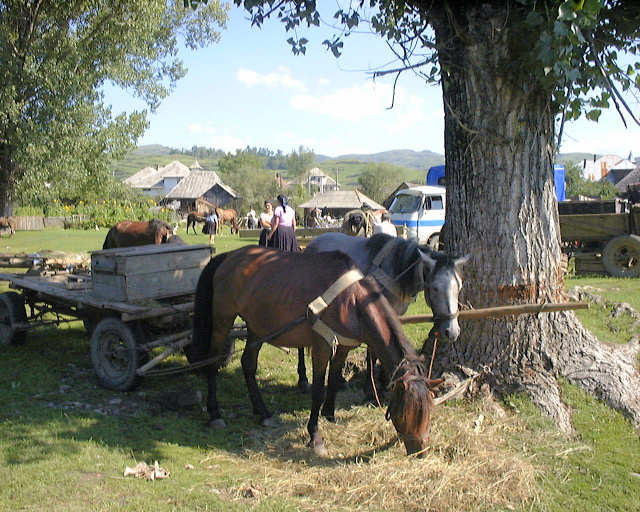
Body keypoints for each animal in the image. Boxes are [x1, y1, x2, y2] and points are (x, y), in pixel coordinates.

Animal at [188, 247, 442, 456]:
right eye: (407, 413)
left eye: (429, 411)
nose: (420, 450)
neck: (350, 300)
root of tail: (229, 256)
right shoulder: (321, 346)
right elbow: (318, 390)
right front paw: (315, 435)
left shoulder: (344, 345)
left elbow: (334, 379)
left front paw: (330, 414)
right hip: (223, 319)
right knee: (212, 364)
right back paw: (215, 414)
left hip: (257, 327)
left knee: (248, 364)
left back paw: (263, 412)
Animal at [300, 232, 470, 392]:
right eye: (435, 288)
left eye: (460, 286)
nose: (452, 332)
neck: (396, 268)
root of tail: (311, 245)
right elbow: (373, 352)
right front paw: (371, 388)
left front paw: (386, 380)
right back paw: (303, 379)